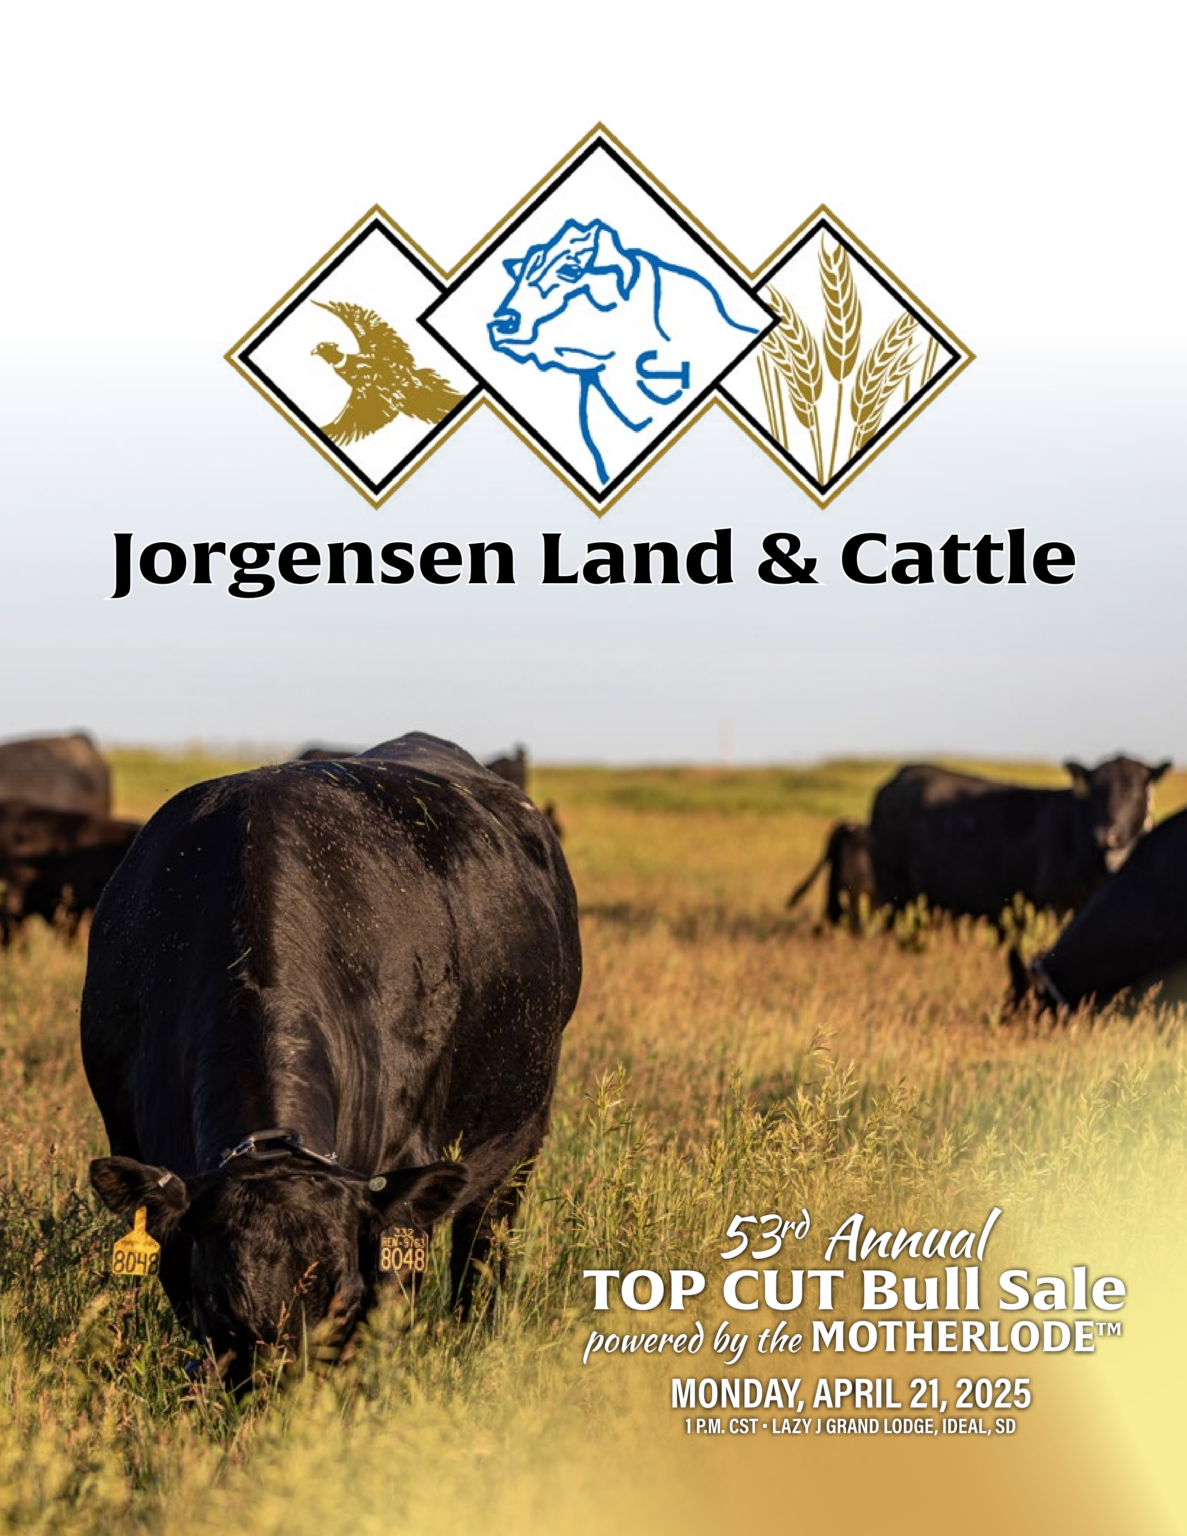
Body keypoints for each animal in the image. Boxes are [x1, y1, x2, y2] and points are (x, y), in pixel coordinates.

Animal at [868, 756, 1171, 925]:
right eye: (1095, 791)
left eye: (1136, 792)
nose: (1106, 833)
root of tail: (901, 775)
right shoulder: (1054, 905)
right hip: (894, 890)